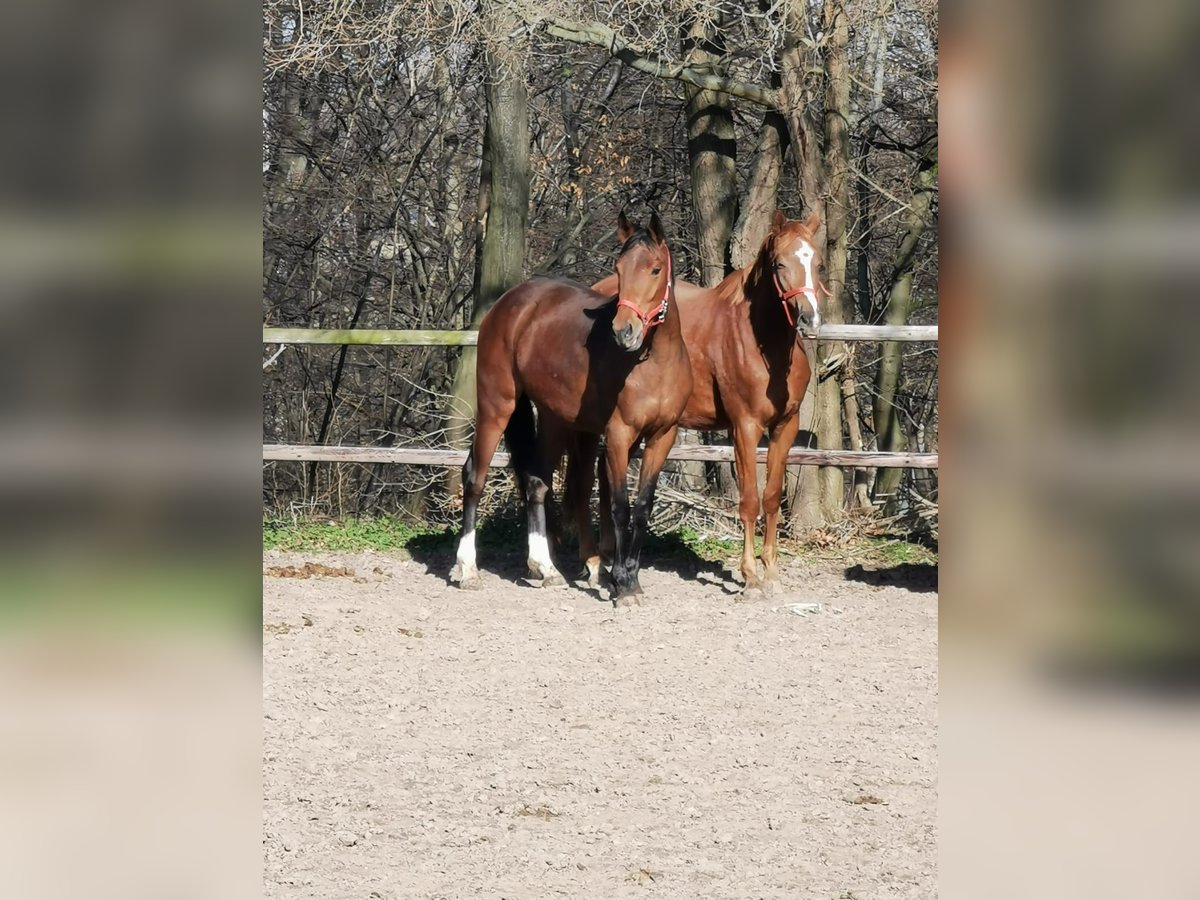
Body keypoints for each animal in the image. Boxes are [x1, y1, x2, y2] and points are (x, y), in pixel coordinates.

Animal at [451, 213, 696, 607]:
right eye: (618, 268)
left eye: (655, 269)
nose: (624, 331)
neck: (654, 363)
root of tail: (509, 303)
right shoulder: (618, 435)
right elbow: (619, 507)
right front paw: (621, 583)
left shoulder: (663, 437)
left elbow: (642, 508)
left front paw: (630, 578)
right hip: (497, 406)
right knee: (474, 477)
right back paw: (468, 569)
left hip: (553, 419)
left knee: (536, 482)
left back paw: (546, 568)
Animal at [573, 207, 825, 595]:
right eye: (780, 264)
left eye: (818, 263)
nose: (810, 320)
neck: (760, 341)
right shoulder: (745, 427)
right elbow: (749, 500)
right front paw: (750, 576)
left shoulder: (785, 426)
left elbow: (770, 498)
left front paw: (771, 571)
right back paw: (595, 563)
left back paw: (607, 559)